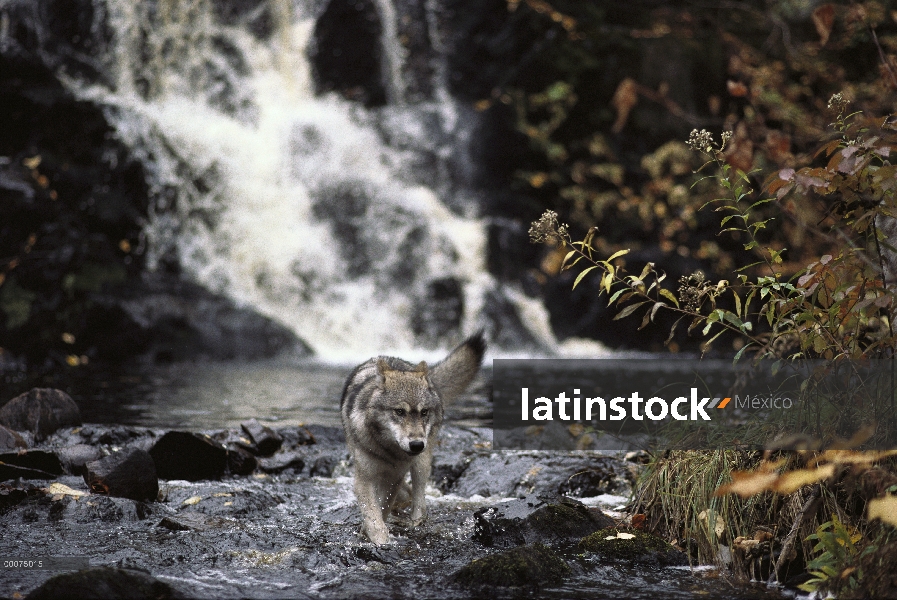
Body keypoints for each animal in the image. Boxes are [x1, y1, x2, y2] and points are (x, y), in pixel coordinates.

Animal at [340, 330, 486, 548]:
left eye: (424, 412)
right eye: (399, 412)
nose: (416, 445)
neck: (387, 450)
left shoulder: (394, 477)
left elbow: (381, 509)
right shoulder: (364, 478)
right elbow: (374, 515)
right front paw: (377, 538)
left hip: (421, 463)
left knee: (419, 499)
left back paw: (415, 520)